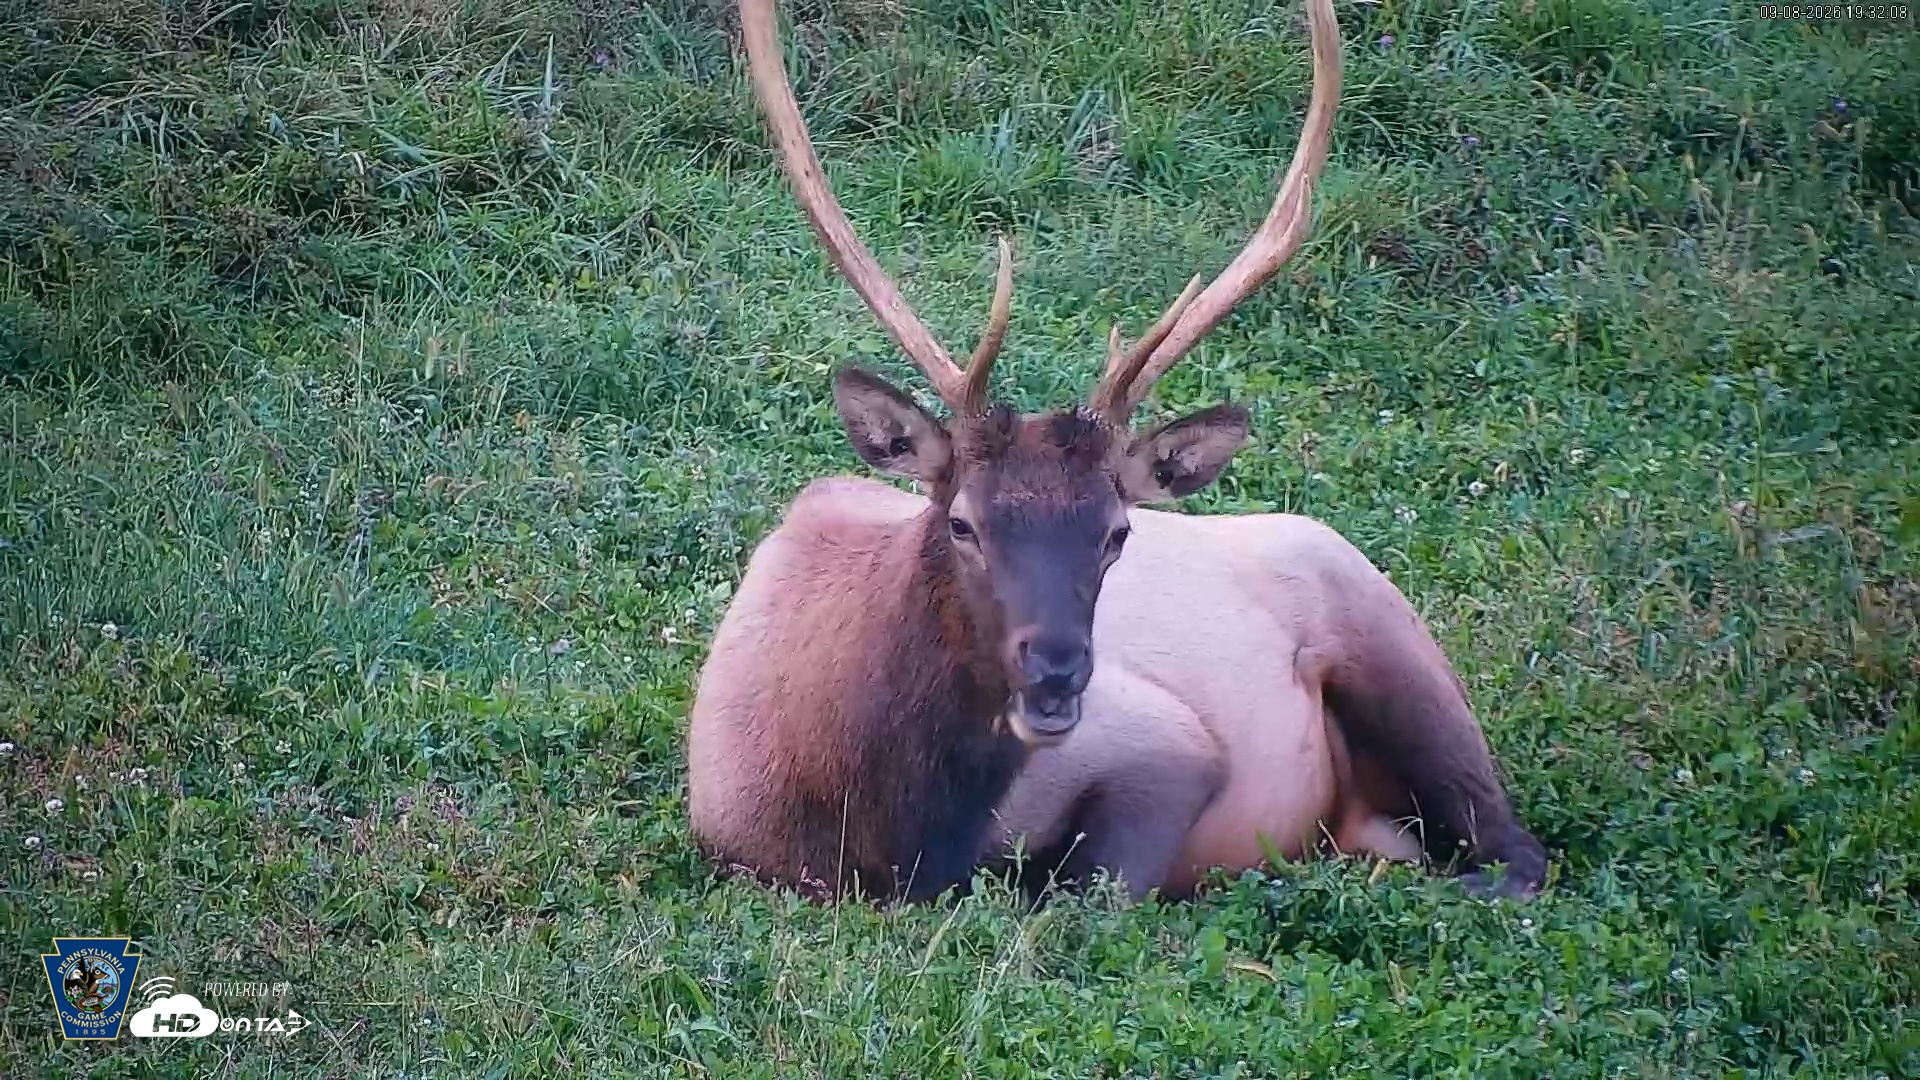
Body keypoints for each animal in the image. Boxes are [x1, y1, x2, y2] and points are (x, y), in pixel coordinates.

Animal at [686, 0, 1550, 907]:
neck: (889, 826)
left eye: (1117, 532)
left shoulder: (1166, 743)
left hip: (1390, 641)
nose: (1058, 672)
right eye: (962, 523)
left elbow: (1089, 890)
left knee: (1516, 852)